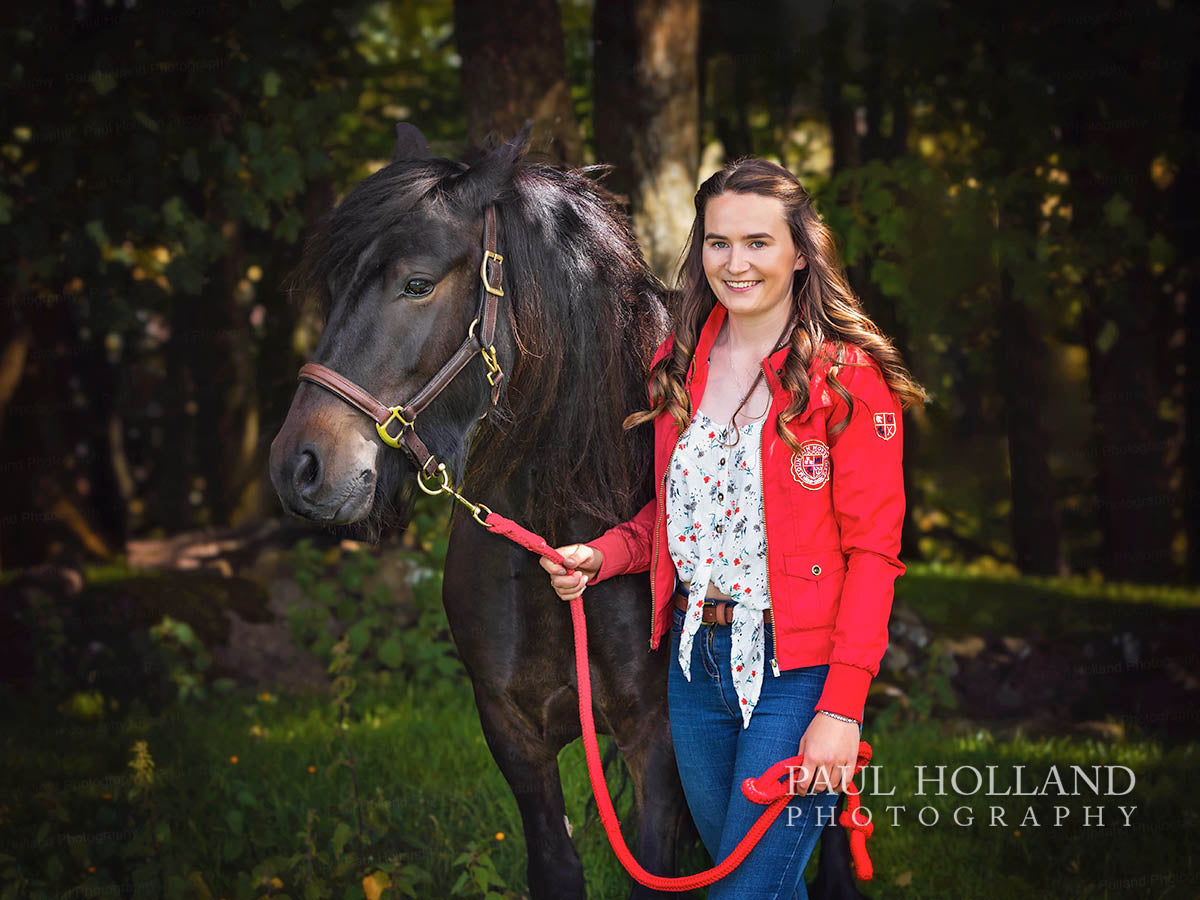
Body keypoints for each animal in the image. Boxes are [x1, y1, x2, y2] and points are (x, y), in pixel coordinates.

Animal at [267, 125, 868, 900]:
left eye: (418, 283)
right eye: (336, 287)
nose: (298, 466)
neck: (560, 526)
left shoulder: (658, 742)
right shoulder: (513, 734)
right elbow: (555, 865)